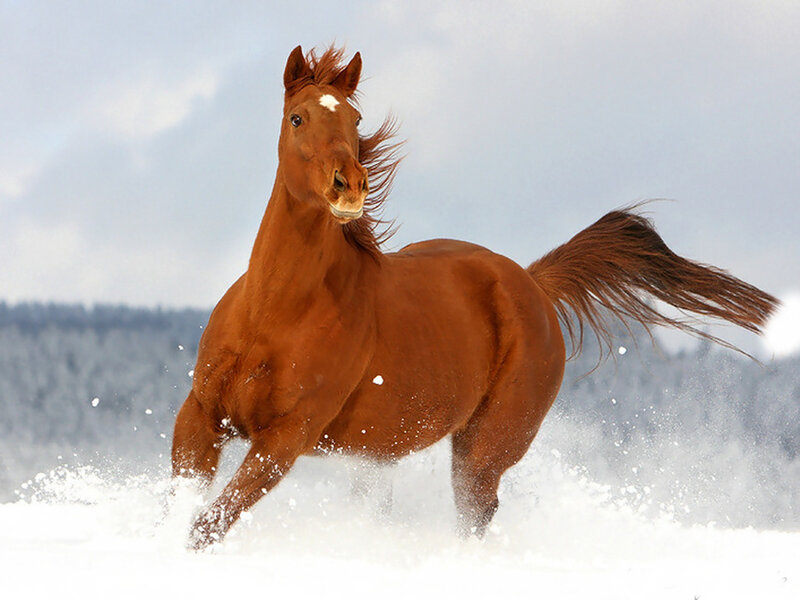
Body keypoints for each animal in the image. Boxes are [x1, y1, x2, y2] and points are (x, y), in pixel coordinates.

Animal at [172, 45, 778, 550]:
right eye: (297, 117)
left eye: (355, 120)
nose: (350, 186)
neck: (275, 314)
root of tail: (532, 283)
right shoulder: (202, 416)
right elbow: (183, 508)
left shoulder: (286, 439)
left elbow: (208, 525)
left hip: (484, 447)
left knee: (476, 512)